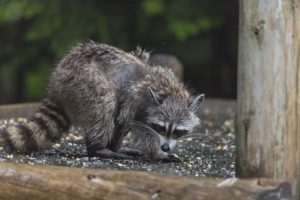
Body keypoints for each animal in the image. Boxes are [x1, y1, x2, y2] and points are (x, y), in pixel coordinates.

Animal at [0, 41, 204, 161]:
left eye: (178, 131)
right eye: (161, 127)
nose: (166, 146)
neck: (170, 92)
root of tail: (56, 83)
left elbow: (126, 123)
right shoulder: (136, 99)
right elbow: (133, 125)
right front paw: (157, 152)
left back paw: (114, 147)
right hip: (82, 80)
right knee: (104, 105)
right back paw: (98, 148)